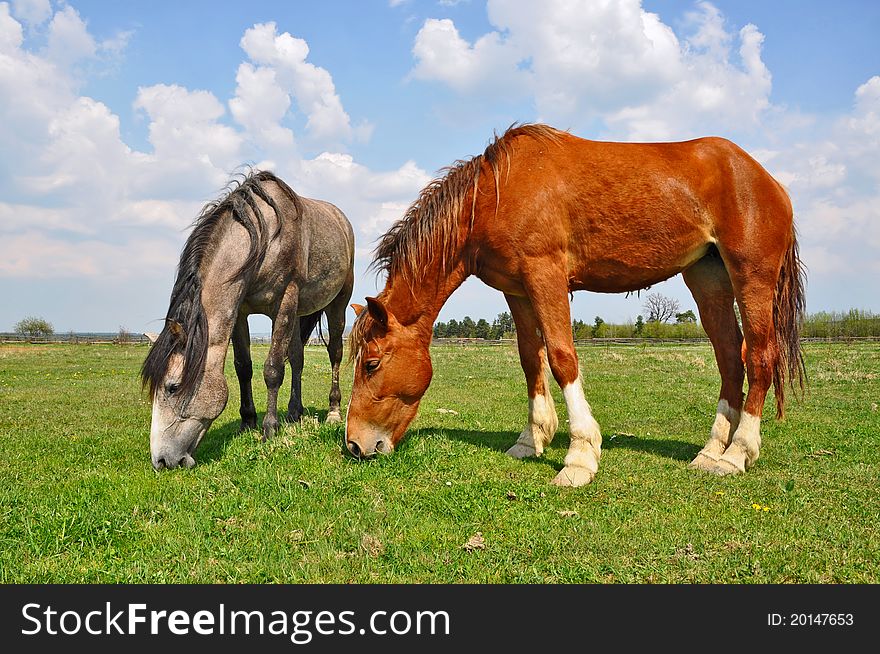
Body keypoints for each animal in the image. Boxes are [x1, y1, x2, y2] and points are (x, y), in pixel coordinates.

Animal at [141, 172, 354, 468]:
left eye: (172, 388)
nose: (161, 460)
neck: (264, 240)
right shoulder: (240, 312)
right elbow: (244, 367)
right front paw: (248, 422)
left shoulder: (283, 303)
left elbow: (273, 369)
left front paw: (269, 429)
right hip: (298, 314)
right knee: (297, 359)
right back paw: (294, 414)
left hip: (338, 303)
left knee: (334, 352)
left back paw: (333, 410)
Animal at [346, 125, 804, 490]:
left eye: (371, 363)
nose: (354, 444)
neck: (496, 193)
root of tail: (769, 181)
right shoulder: (517, 290)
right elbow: (531, 359)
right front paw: (532, 439)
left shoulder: (545, 275)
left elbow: (562, 357)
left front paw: (580, 456)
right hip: (708, 279)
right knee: (729, 359)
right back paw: (710, 452)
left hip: (751, 278)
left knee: (759, 357)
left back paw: (737, 454)